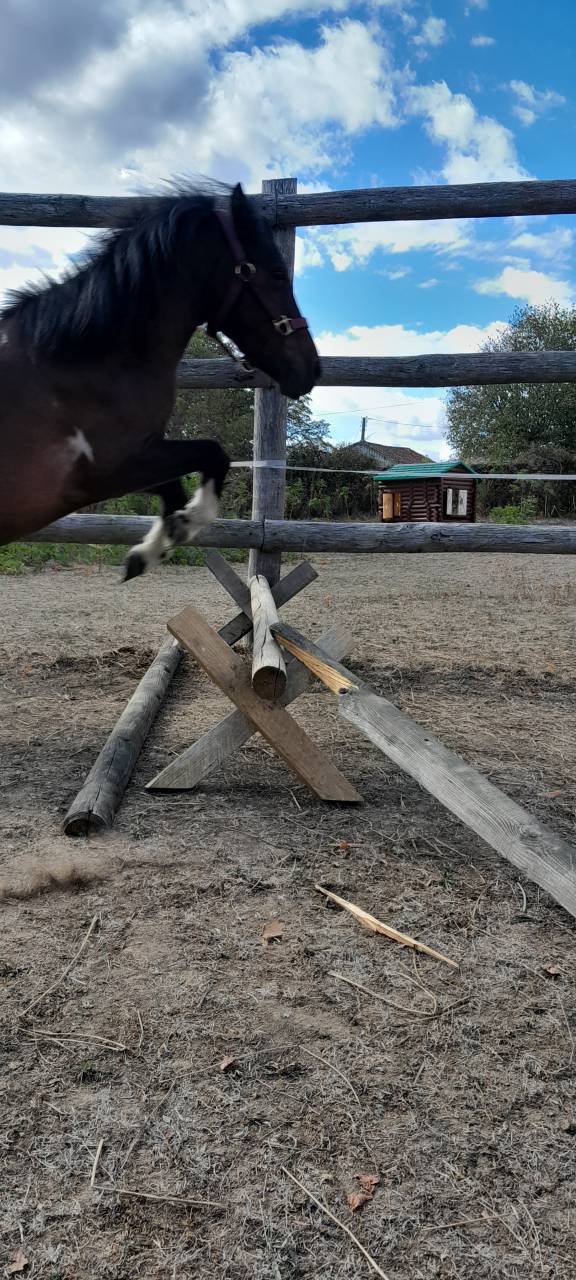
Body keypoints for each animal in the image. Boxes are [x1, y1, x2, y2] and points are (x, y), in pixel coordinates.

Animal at [0, 182, 320, 579]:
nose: (312, 368)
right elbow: (213, 455)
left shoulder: (139, 458)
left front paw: (151, 548)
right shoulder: (111, 470)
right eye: (277, 272)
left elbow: (175, 488)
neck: (76, 362)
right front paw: (182, 526)